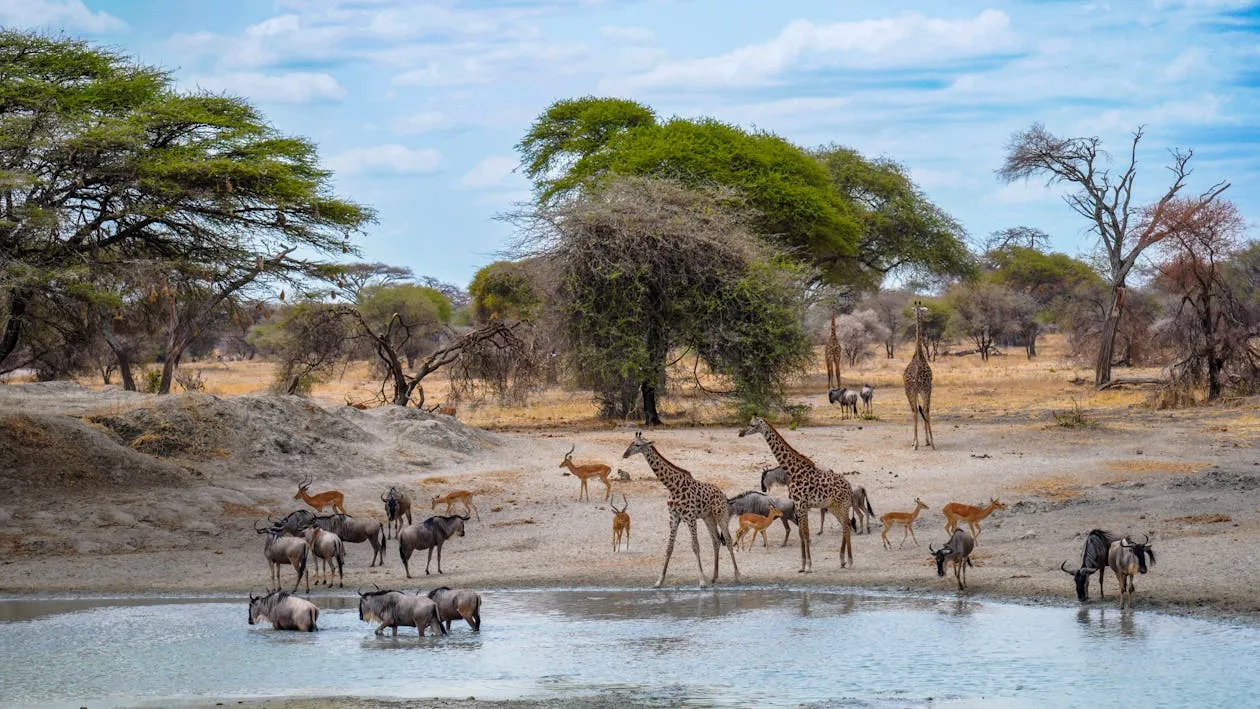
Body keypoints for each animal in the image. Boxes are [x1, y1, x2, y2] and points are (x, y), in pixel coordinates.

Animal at [619, 433, 735, 589]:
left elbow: (695, 546)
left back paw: (737, 575)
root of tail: (723, 494)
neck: (673, 487)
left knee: (728, 539)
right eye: (630, 442)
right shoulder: (673, 517)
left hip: (721, 515)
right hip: (708, 517)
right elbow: (669, 548)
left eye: (637, 445)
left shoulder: (690, 517)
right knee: (716, 540)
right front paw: (659, 581)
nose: (625, 454)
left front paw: (701, 581)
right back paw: (714, 577)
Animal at [735, 418, 851, 574]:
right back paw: (843, 561)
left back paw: (849, 561)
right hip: (834, 507)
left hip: (841, 506)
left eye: (752, 424)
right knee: (846, 525)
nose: (741, 433)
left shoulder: (802, 504)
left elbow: (805, 533)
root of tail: (849, 486)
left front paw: (809, 566)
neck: (793, 471)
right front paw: (802, 566)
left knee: (847, 526)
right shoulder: (798, 504)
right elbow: (801, 533)